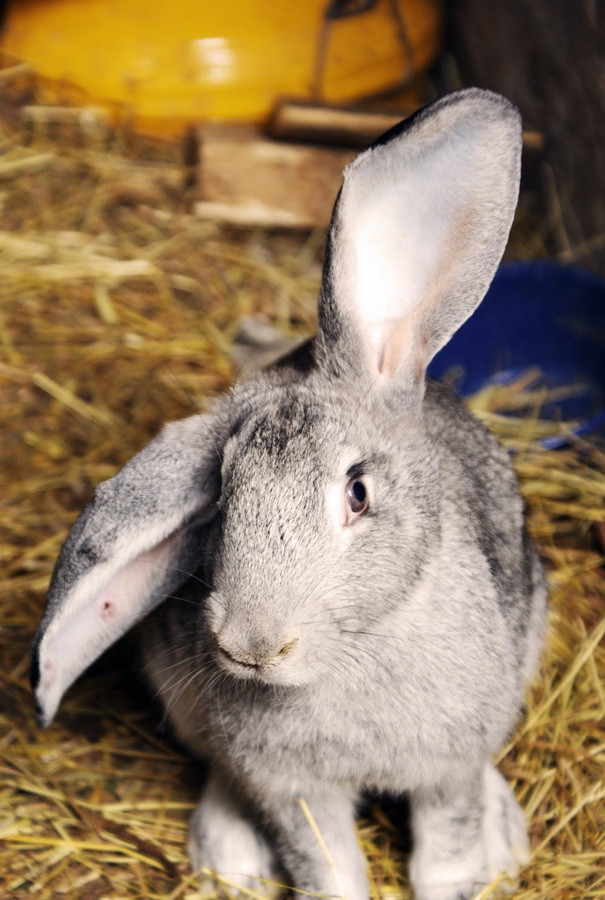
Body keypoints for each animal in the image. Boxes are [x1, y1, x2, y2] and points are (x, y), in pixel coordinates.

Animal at [31, 88, 547, 900]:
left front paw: (469, 870)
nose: (251, 645)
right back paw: (229, 856)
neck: (356, 651)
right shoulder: (294, 793)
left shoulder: (449, 772)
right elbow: (326, 867)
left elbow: (445, 854)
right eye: (220, 494)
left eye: (358, 493)